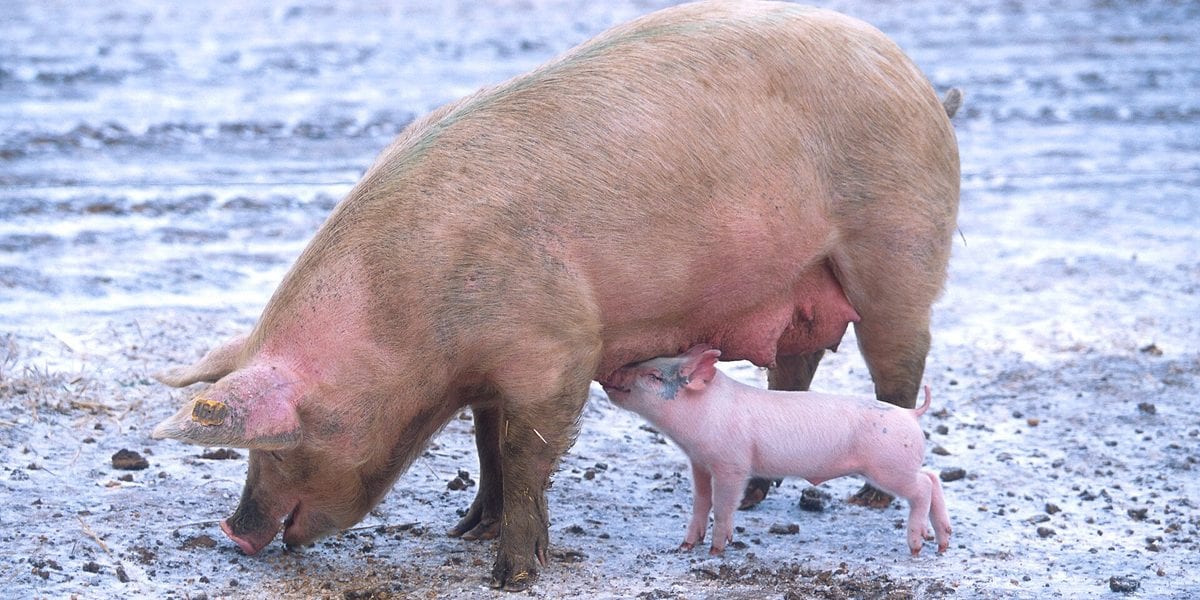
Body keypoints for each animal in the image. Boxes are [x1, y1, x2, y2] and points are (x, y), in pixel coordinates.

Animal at [603, 345, 952, 556]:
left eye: (654, 376)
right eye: (648, 363)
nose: (610, 373)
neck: (703, 413)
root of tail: (911, 414)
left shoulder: (732, 464)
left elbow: (724, 504)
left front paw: (716, 551)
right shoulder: (700, 462)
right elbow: (701, 502)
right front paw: (685, 546)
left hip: (889, 467)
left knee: (922, 487)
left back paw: (918, 546)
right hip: (899, 465)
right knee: (933, 477)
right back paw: (942, 543)